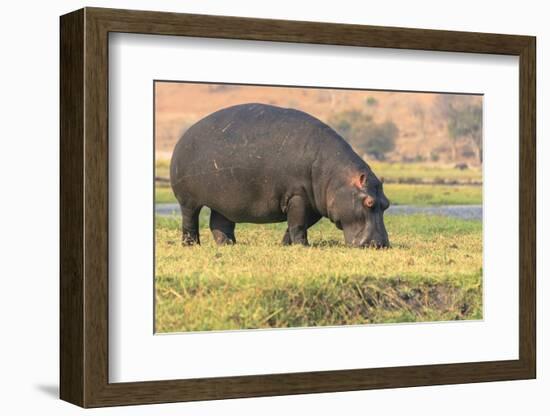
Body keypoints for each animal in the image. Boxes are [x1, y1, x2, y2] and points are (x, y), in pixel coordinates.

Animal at [170, 103, 390, 249]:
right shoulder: (297, 196)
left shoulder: (314, 204)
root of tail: (184, 135)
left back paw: (228, 244)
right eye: (369, 202)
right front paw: (303, 246)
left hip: (224, 200)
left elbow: (298, 224)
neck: (336, 176)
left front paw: (286, 245)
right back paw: (191, 245)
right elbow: (298, 224)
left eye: (386, 204)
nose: (381, 245)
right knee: (190, 220)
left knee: (219, 222)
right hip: (188, 200)